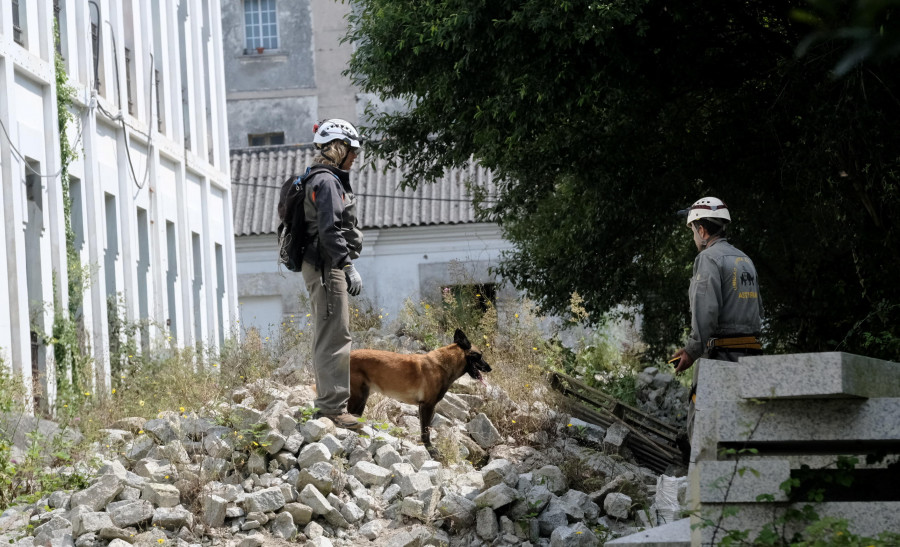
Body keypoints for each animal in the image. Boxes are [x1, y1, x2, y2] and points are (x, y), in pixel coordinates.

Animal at [350, 330, 492, 446]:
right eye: (479, 356)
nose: (490, 368)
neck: (444, 365)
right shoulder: (427, 406)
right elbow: (425, 431)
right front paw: (429, 448)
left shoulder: (424, 407)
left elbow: (425, 428)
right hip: (358, 396)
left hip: (362, 397)